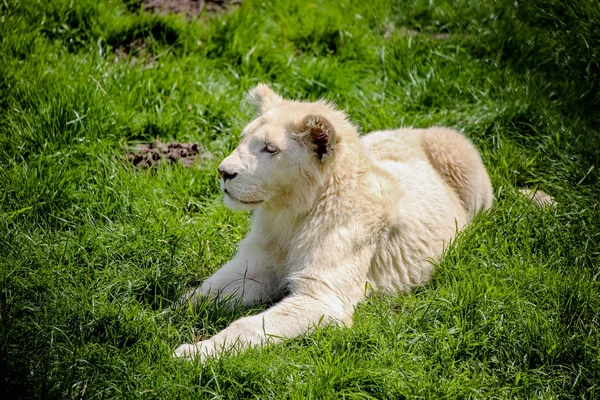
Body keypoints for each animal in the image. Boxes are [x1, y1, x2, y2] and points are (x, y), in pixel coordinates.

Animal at [172, 83, 492, 360]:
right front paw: (163, 315)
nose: (223, 172)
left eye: (270, 148)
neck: (290, 213)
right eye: (243, 139)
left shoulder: (323, 297)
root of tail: (418, 129)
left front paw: (192, 354)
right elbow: (202, 293)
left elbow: (247, 326)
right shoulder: (258, 264)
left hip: (459, 155)